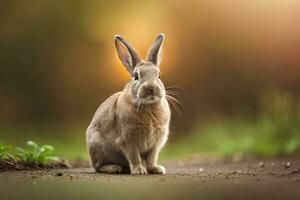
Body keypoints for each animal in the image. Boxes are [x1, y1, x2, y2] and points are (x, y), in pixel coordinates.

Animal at [86, 33, 171, 174]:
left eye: (159, 76)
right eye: (136, 76)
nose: (151, 88)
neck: (148, 106)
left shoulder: (155, 143)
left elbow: (151, 158)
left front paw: (156, 169)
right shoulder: (128, 139)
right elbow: (134, 156)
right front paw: (139, 171)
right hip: (98, 147)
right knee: (98, 167)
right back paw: (114, 168)